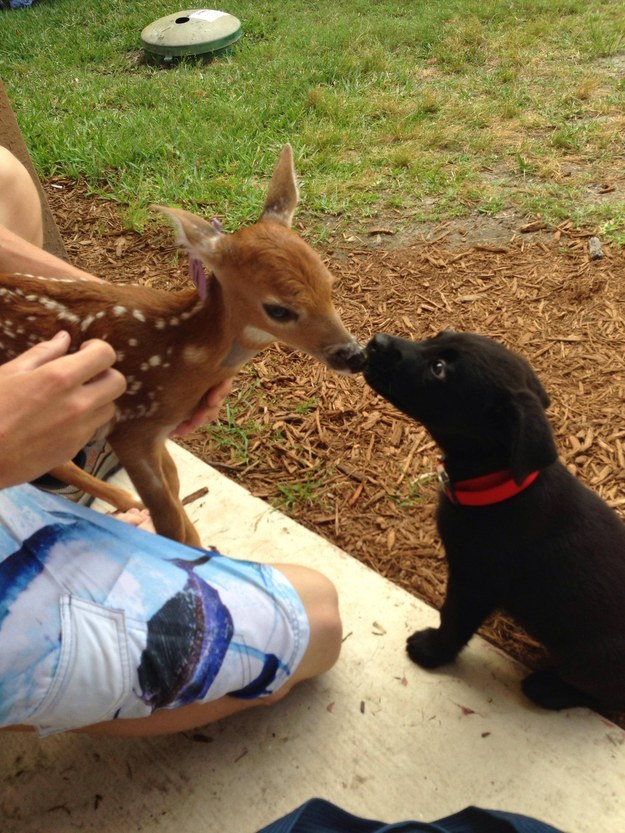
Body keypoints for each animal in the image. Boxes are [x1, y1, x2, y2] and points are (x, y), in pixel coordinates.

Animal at [360, 330, 624, 708]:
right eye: (440, 335)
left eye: (438, 369)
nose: (377, 341)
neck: (498, 485)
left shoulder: (474, 582)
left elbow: (453, 619)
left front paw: (432, 650)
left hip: (586, 659)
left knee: (601, 696)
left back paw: (547, 688)